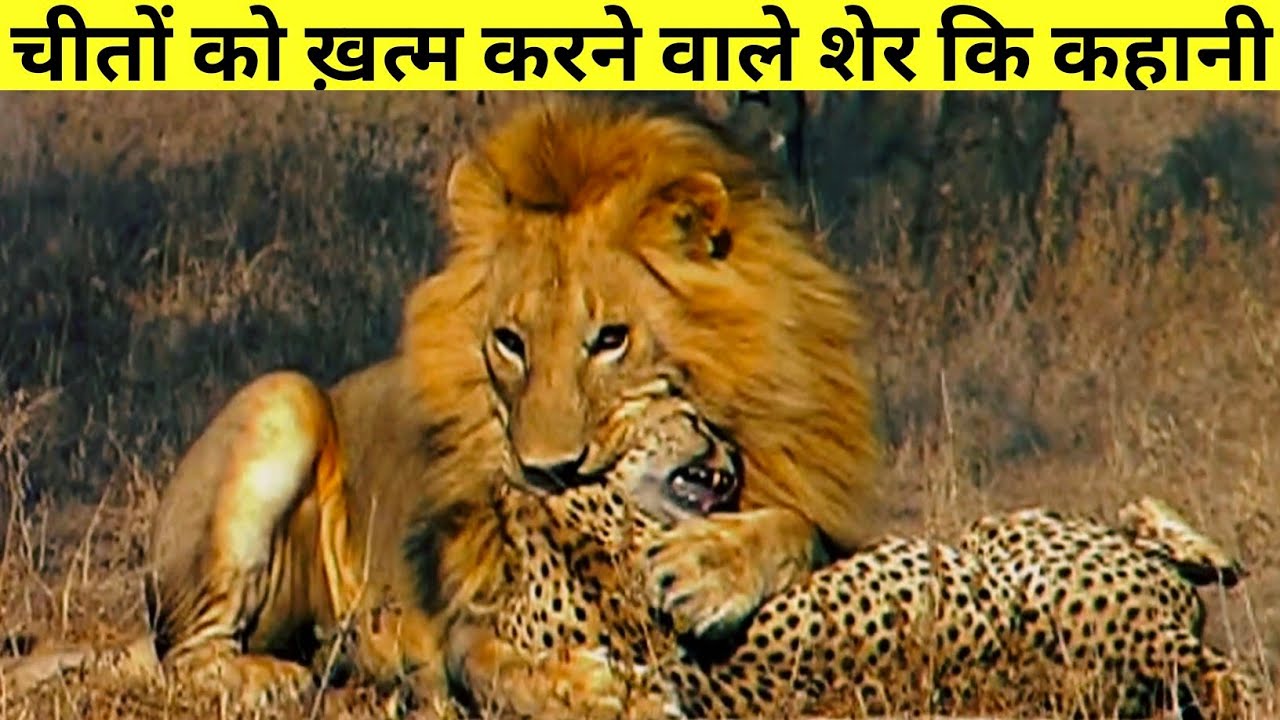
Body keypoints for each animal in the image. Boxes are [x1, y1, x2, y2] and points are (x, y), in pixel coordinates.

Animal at [0, 95, 879, 714]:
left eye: (611, 340)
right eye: (509, 342)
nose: (544, 471)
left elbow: (801, 531)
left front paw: (710, 569)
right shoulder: (470, 617)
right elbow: (487, 660)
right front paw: (587, 691)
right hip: (282, 398)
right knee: (184, 658)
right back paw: (268, 678)